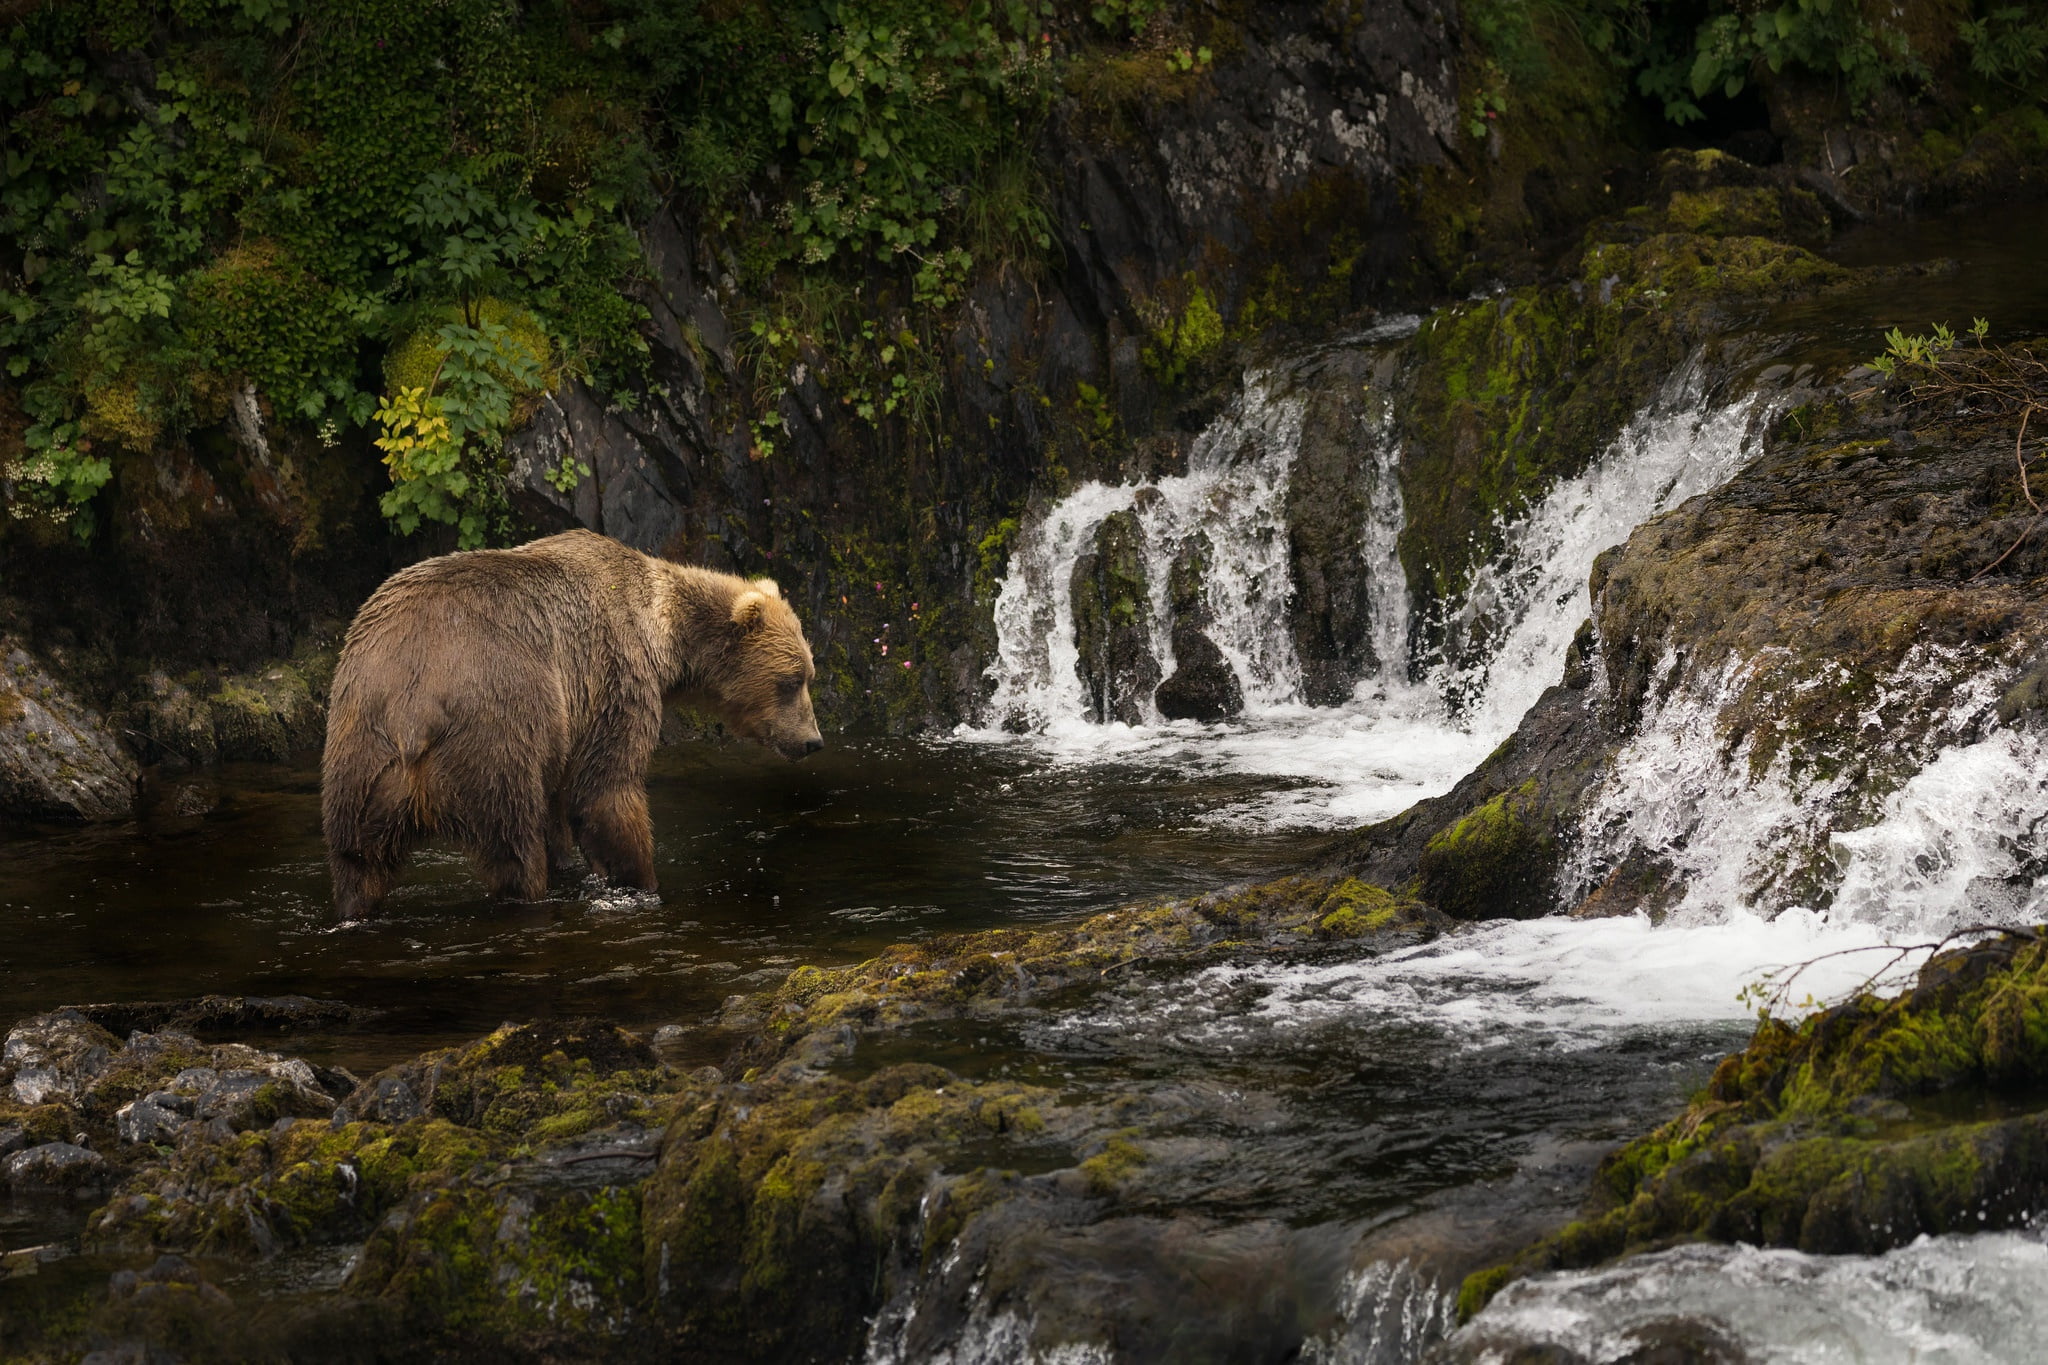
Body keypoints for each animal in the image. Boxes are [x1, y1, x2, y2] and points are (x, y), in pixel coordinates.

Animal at [320, 529, 821, 920]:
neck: (664, 634)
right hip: (496, 730)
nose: (813, 741)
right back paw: (527, 895)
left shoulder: (569, 722)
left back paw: (355, 908)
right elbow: (606, 789)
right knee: (513, 846)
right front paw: (641, 881)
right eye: (791, 680)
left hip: (360, 752)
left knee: (357, 859)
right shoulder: (614, 673)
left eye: (808, 674)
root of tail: (413, 710)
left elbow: (560, 806)